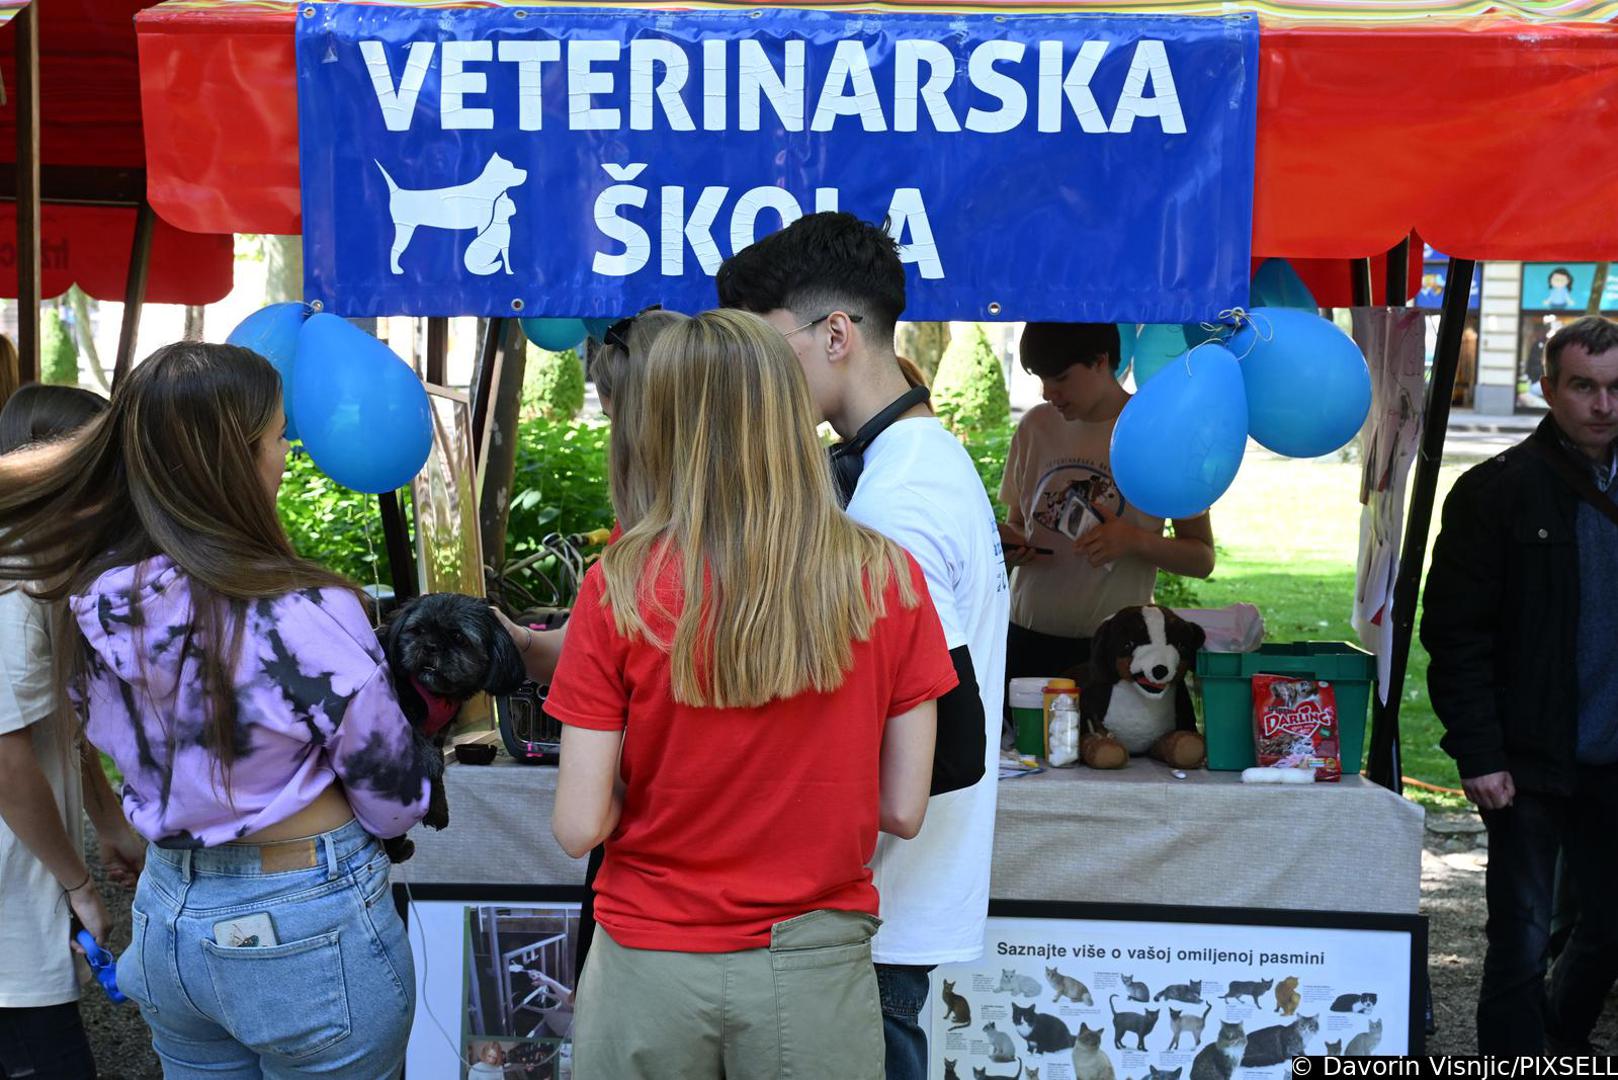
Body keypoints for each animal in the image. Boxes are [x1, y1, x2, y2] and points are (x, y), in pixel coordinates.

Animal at [380, 592, 527, 861]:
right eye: (417, 630)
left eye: (459, 637)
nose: (430, 646)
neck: (435, 693)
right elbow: (423, 748)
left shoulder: (438, 733)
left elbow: (437, 771)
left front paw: (438, 809)